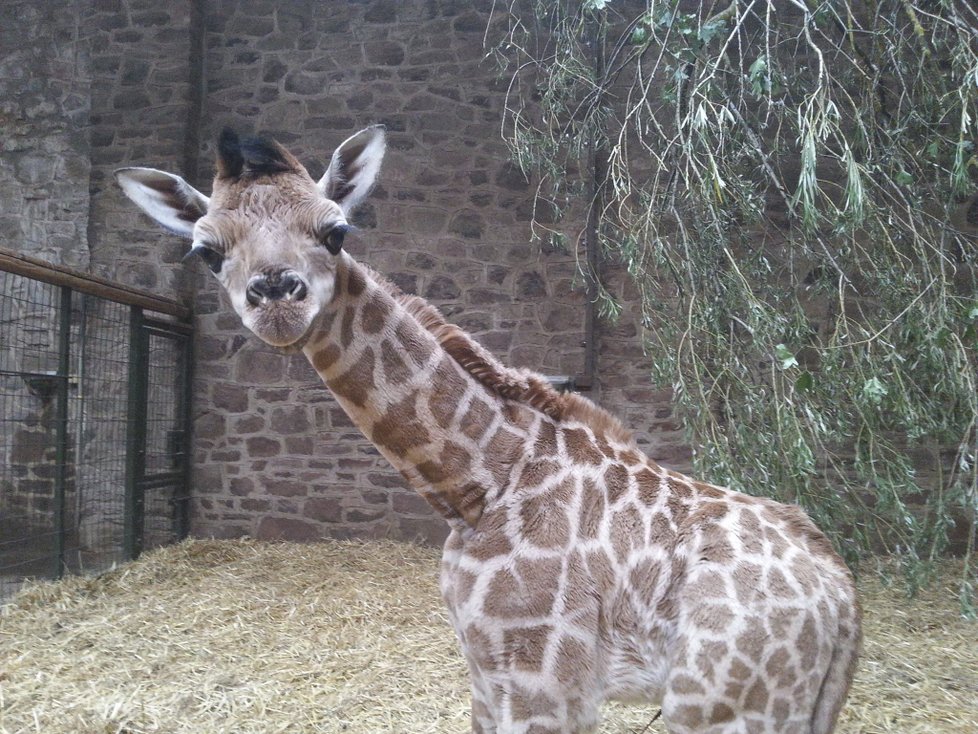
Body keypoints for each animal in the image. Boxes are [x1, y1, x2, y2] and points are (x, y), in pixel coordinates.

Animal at [118, 126, 856, 734]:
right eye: (206, 250)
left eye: (336, 231)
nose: (276, 297)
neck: (479, 483)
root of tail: (846, 599)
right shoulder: (482, 669)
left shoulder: (546, 677)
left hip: (717, 704)